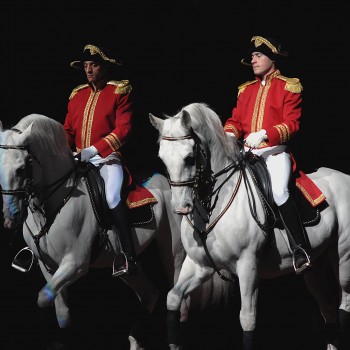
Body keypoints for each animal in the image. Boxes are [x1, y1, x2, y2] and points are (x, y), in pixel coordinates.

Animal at [0, 113, 189, 348]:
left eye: (20, 168)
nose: (11, 216)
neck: (54, 201)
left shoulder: (75, 264)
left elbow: (43, 298)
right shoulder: (49, 267)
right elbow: (60, 311)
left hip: (173, 253)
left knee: (177, 298)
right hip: (127, 267)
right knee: (150, 294)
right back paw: (135, 339)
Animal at [149, 102, 350, 350]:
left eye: (189, 157)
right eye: (162, 158)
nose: (180, 207)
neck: (214, 206)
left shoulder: (248, 265)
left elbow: (247, 320)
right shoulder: (199, 265)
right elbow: (173, 298)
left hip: (343, 258)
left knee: (343, 305)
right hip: (316, 266)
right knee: (329, 308)